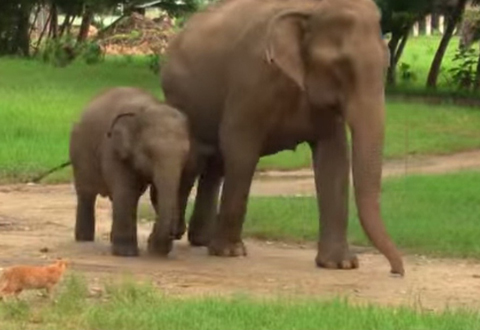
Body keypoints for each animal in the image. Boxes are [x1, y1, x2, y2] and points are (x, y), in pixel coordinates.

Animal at [70, 86, 190, 256]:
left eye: (185, 154)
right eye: (149, 153)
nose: (176, 232)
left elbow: (156, 193)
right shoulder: (112, 148)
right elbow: (126, 191)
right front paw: (126, 253)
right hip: (79, 150)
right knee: (86, 193)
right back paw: (84, 239)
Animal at [161, 0, 404, 274]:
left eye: (385, 64)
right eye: (340, 65)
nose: (396, 270)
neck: (310, 9)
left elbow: (334, 157)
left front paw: (340, 264)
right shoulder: (251, 81)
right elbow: (240, 147)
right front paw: (230, 253)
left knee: (215, 163)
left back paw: (202, 239)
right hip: (179, 98)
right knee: (195, 158)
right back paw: (180, 234)